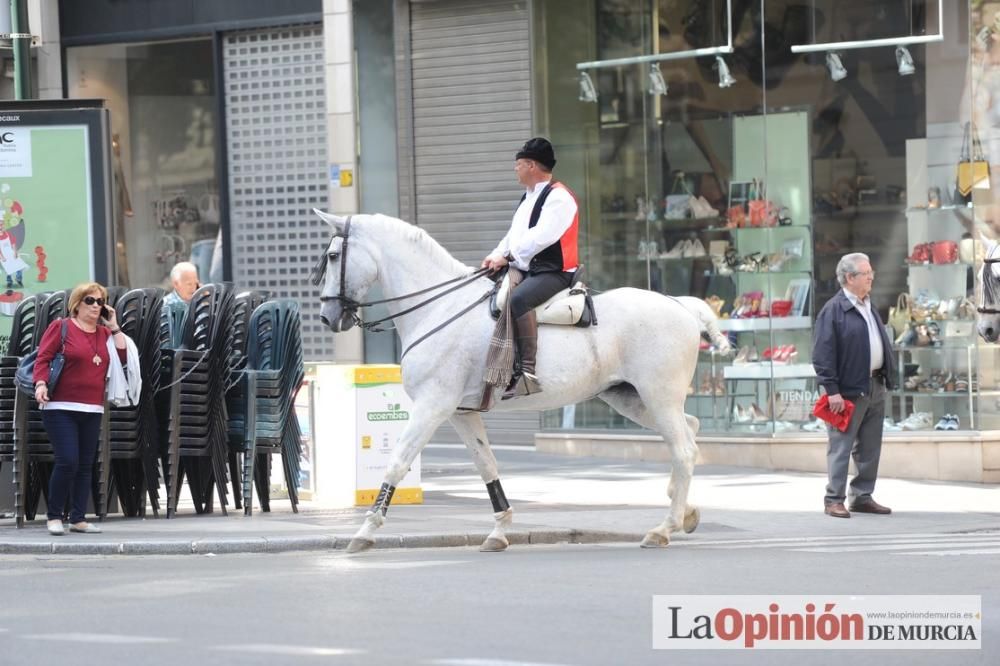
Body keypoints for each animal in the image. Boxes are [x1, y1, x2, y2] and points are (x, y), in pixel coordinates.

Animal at [316, 211, 708, 548]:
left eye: (333, 255)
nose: (326, 316)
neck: (439, 309)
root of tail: (682, 307)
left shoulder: (432, 407)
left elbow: (398, 462)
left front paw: (365, 531)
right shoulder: (460, 412)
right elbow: (486, 463)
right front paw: (500, 530)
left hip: (658, 396)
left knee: (683, 449)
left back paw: (664, 527)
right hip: (630, 398)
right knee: (688, 431)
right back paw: (684, 510)